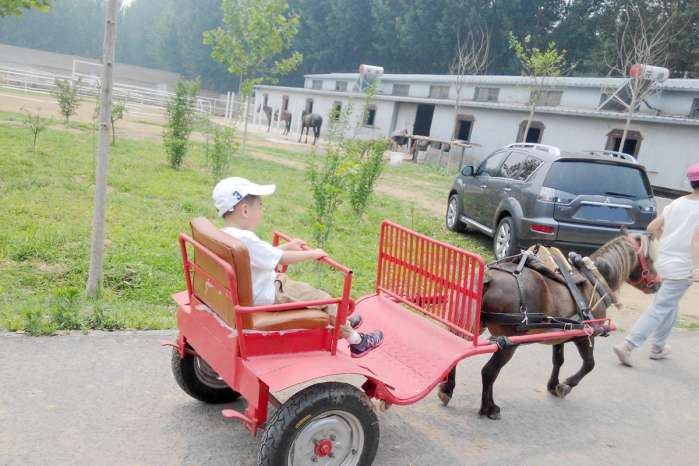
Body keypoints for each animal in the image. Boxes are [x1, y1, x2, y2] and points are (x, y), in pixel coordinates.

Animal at [440, 235, 660, 420]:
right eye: (650, 259)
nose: (658, 284)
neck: (595, 280)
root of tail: (489, 277)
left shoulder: (560, 335)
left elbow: (558, 361)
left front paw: (553, 385)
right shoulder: (585, 335)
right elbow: (589, 364)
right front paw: (565, 386)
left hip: (473, 326)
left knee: (457, 354)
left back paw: (447, 390)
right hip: (509, 342)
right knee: (489, 372)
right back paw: (489, 408)